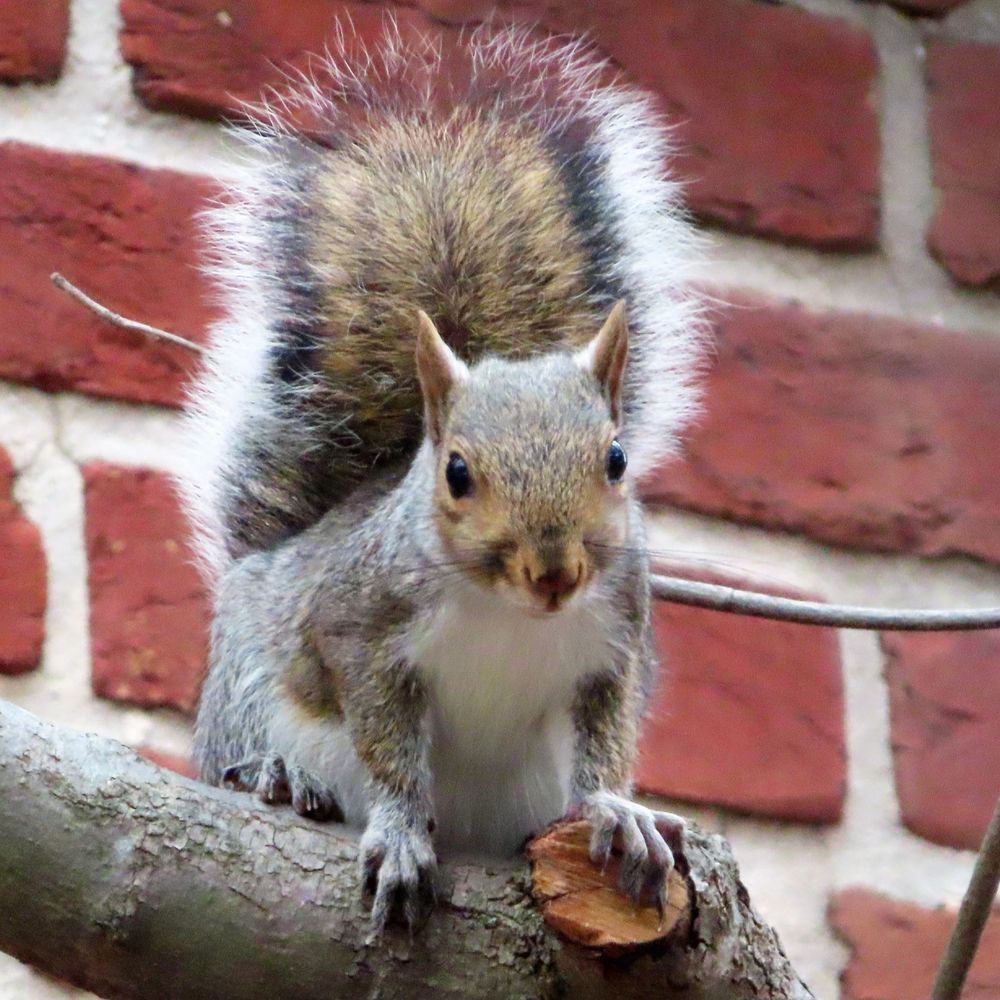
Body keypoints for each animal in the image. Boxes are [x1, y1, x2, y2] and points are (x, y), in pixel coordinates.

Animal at [179, 23, 705, 932]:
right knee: (235, 752)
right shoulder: (358, 628)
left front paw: (618, 810)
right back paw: (275, 776)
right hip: (244, 678)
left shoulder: (616, 643)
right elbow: (389, 750)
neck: (508, 612)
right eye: (456, 471)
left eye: (616, 460)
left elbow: (605, 746)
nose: (554, 571)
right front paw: (396, 830)